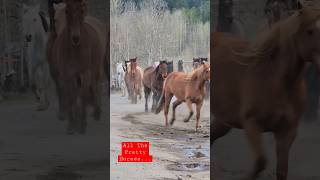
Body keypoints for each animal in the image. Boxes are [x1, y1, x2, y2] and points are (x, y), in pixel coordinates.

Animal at [47, 0, 106, 134]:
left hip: (96, 69)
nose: (75, 37)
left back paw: (96, 113)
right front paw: (71, 125)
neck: (75, 49)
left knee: (96, 85)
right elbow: (70, 97)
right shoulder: (66, 74)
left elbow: (82, 95)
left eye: (82, 10)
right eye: (67, 10)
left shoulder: (85, 73)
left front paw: (82, 125)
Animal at [212, 5, 320, 180]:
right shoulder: (252, 124)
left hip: (225, 121)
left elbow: (282, 170)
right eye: (309, 31)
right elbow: (261, 161)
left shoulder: (287, 131)